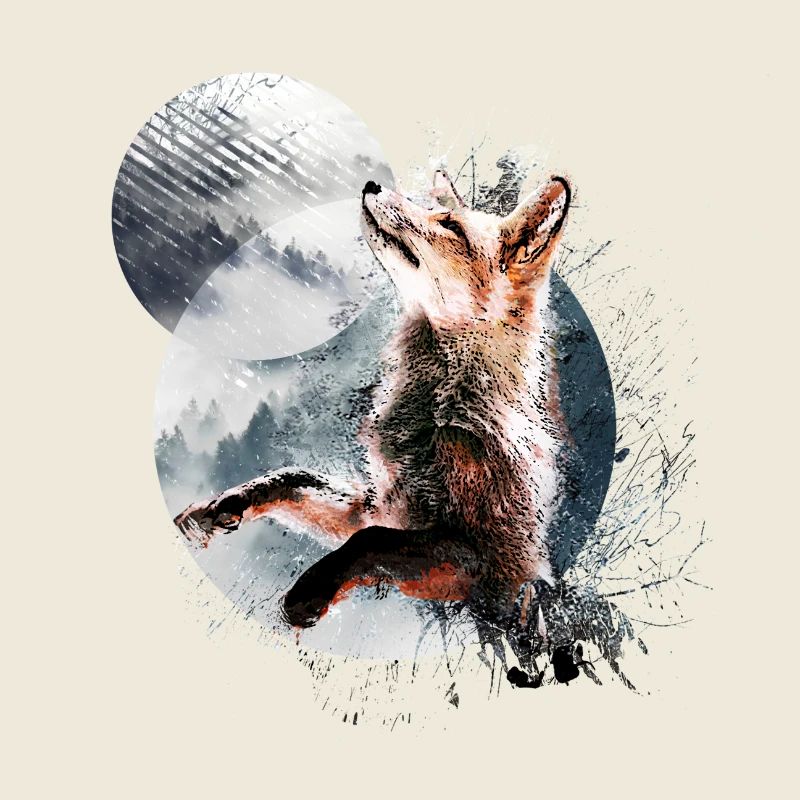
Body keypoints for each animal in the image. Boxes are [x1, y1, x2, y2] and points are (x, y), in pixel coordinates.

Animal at [174, 169, 572, 633]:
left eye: (450, 226)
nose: (373, 184)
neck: (440, 414)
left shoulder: (479, 559)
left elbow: (369, 542)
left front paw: (310, 592)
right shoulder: (376, 507)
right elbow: (294, 478)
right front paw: (221, 507)